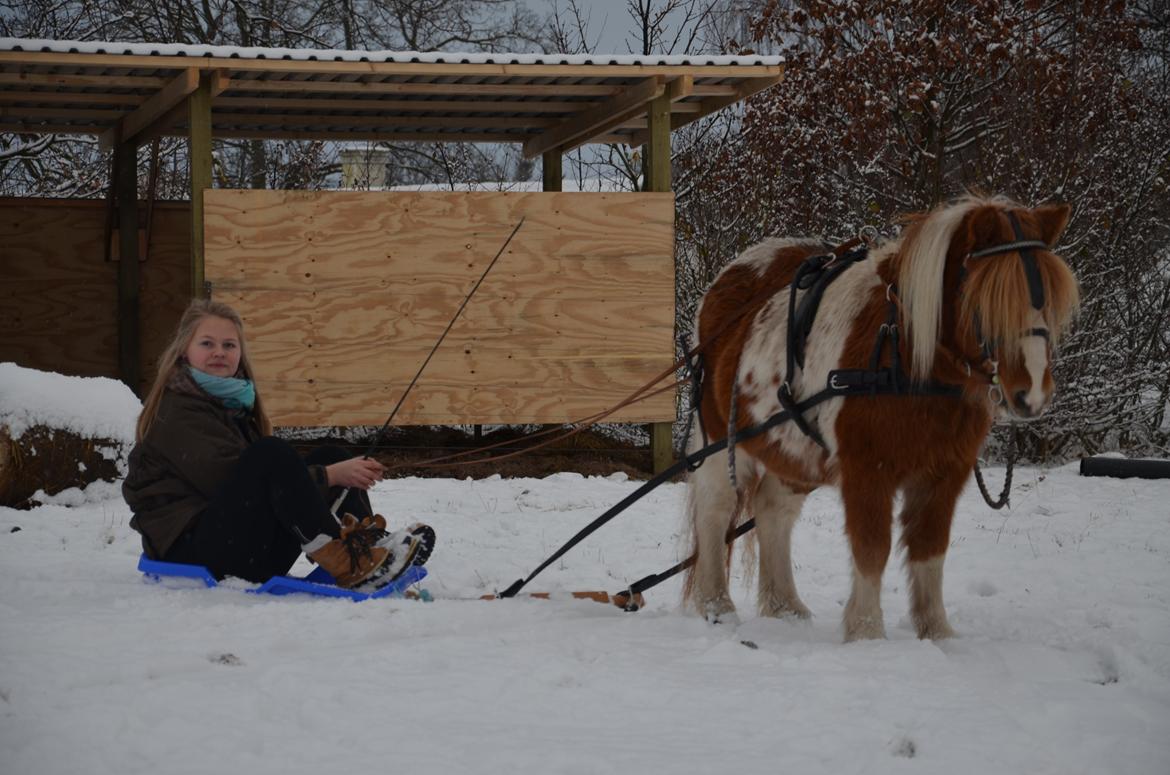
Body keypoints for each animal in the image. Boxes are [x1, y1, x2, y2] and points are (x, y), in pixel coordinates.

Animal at [683, 195, 1076, 641]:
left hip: (795, 450)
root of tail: (728, 276)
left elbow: (929, 551)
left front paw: (936, 634)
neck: (903, 351)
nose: (1032, 393)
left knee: (773, 511)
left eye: (1048, 300)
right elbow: (872, 549)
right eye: (988, 298)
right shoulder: (868, 470)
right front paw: (867, 635)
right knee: (715, 507)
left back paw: (785, 607)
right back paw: (716, 605)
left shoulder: (944, 474)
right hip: (719, 438)